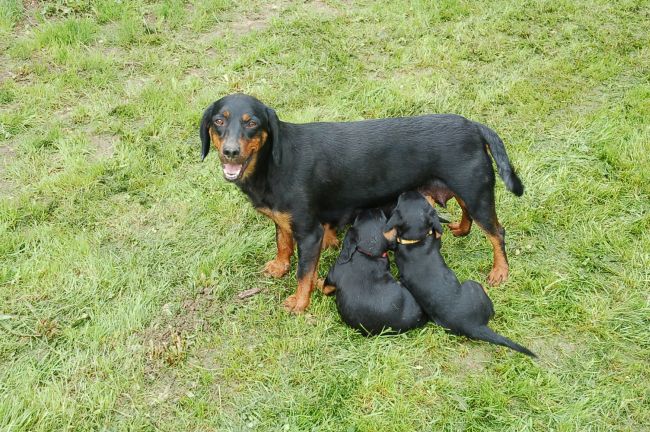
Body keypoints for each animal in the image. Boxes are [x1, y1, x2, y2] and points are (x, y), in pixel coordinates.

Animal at [200, 93, 524, 314]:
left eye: (252, 123)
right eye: (219, 121)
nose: (230, 152)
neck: (272, 163)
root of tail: (474, 126)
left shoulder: (309, 232)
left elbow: (304, 273)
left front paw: (299, 302)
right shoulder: (284, 220)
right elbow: (282, 242)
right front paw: (279, 266)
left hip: (475, 191)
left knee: (497, 232)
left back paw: (500, 271)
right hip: (464, 189)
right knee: (469, 214)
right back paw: (461, 228)